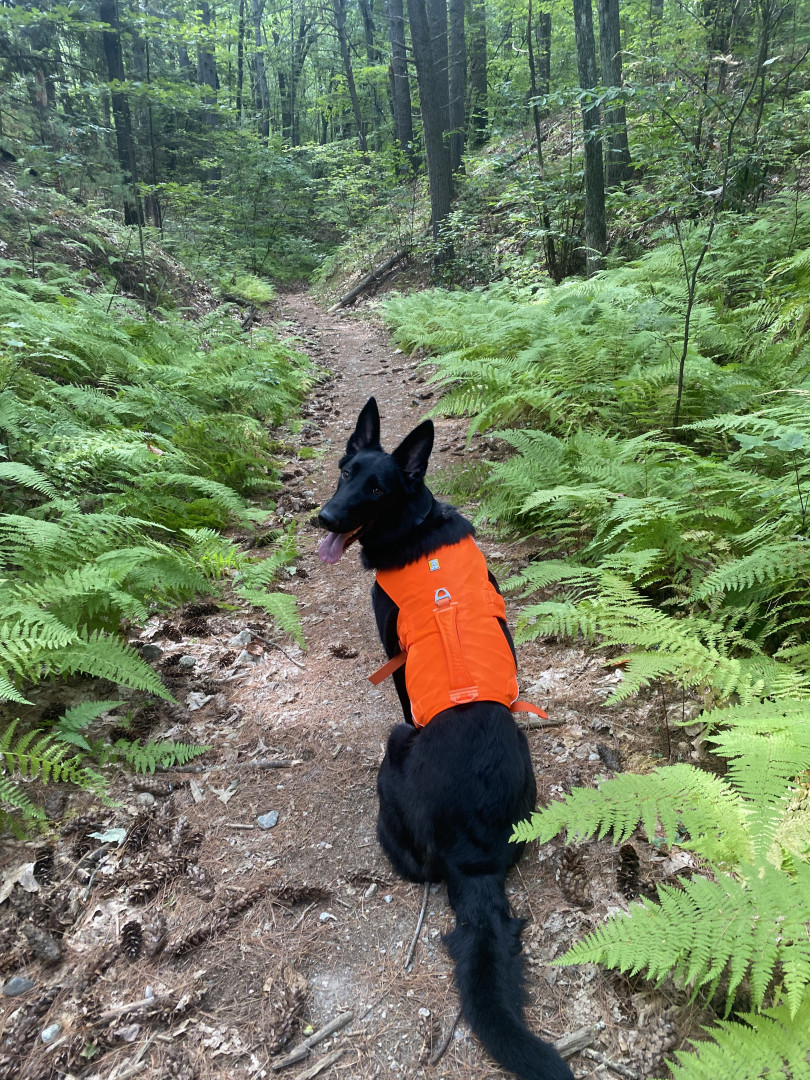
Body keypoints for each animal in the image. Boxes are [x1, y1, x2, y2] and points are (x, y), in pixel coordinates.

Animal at [318, 398, 573, 1080]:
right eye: (345, 472)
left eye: (375, 489)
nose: (323, 517)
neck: (415, 521)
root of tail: (472, 855)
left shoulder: (396, 661)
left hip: (394, 754)